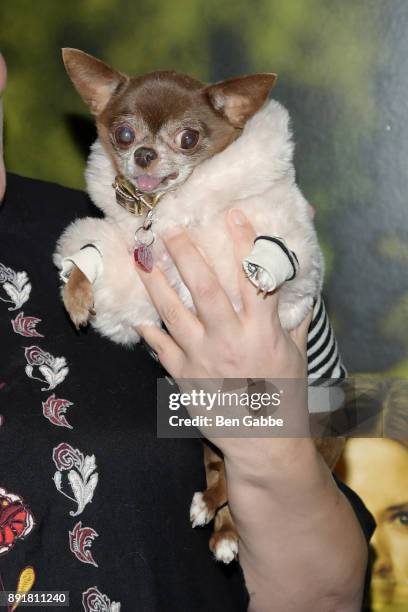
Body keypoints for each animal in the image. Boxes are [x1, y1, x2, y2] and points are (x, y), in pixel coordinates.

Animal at [54, 50, 346, 568]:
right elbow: (102, 266)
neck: (164, 208)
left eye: (188, 138)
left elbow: (283, 250)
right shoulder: (135, 271)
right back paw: (221, 524)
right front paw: (77, 287)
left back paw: (214, 510)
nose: (143, 154)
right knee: (226, 474)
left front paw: (264, 269)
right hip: (213, 437)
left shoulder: (281, 225)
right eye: (123, 133)